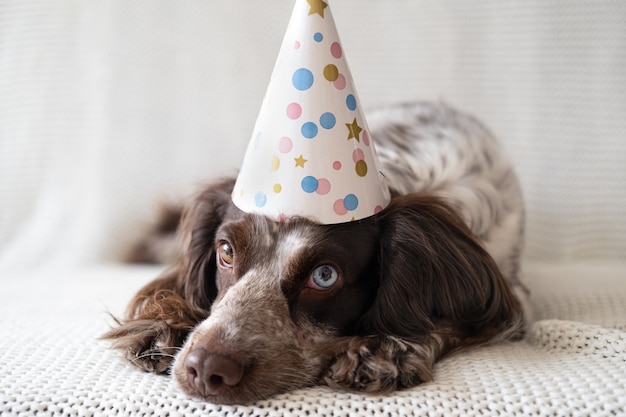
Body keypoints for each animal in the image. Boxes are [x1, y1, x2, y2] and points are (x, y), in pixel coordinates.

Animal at [102, 101, 528, 404]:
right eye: (225, 252)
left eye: (324, 275)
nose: (206, 369)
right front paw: (162, 325)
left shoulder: (509, 302)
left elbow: (448, 322)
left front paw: (386, 349)